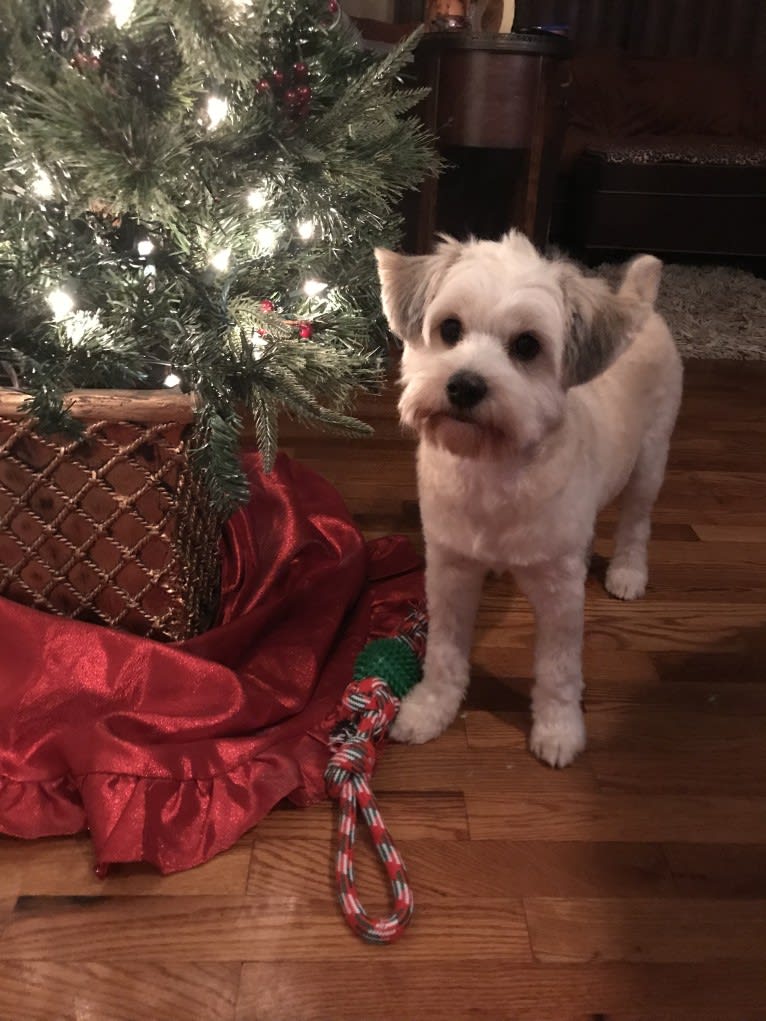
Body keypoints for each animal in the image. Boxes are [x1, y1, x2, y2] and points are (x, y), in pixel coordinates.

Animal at [375, 229, 682, 767]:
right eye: (449, 329)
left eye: (526, 345)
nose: (464, 385)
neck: (492, 470)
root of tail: (640, 301)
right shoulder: (450, 572)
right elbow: (444, 653)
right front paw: (432, 708)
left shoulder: (560, 597)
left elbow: (559, 670)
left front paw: (559, 729)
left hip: (650, 461)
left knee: (635, 524)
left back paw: (627, 571)